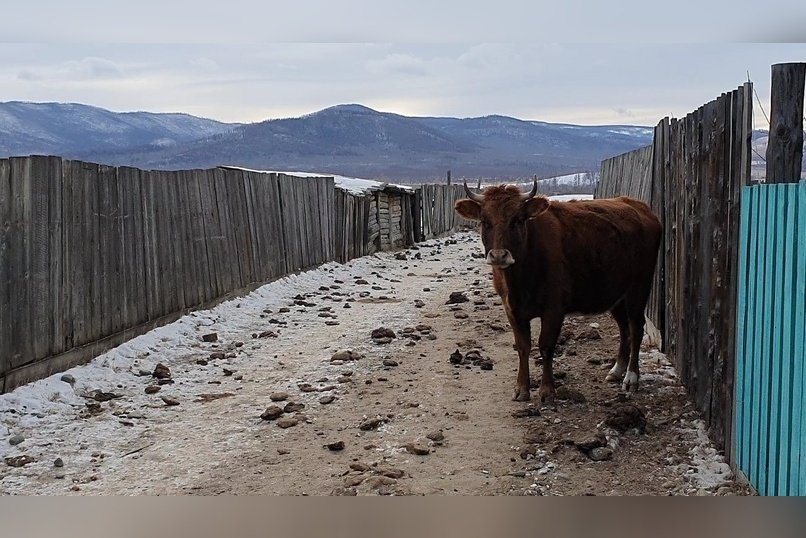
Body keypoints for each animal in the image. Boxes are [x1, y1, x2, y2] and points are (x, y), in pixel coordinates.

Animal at [454, 182, 664, 400]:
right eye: (485, 221)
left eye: (517, 220)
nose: (498, 256)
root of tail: (639, 207)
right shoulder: (511, 309)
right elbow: (523, 346)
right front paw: (521, 388)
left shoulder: (554, 308)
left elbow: (546, 345)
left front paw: (547, 389)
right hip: (615, 294)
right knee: (624, 328)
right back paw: (616, 370)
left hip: (638, 288)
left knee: (636, 327)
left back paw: (631, 378)